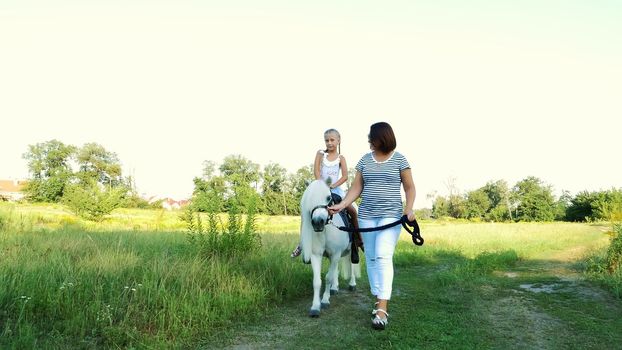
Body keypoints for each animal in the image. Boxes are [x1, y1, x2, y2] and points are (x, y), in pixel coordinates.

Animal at [302, 180, 364, 318]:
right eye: (309, 199)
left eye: (328, 198)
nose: (317, 222)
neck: (326, 229)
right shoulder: (317, 255)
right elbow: (317, 281)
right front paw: (315, 307)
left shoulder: (335, 253)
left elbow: (328, 277)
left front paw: (325, 300)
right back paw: (334, 288)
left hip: (351, 250)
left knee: (352, 265)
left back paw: (352, 284)